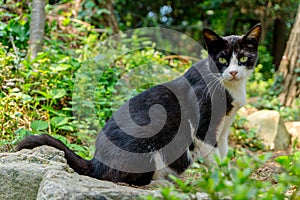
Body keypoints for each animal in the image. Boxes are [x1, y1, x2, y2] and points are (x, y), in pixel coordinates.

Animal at [15, 23, 260, 186]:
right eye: (222, 60)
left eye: (243, 58)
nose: (233, 72)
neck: (229, 87)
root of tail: (96, 161)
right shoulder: (203, 129)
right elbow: (214, 158)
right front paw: (225, 184)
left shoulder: (224, 128)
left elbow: (224, 154)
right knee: (124, 178)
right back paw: (163, 183)